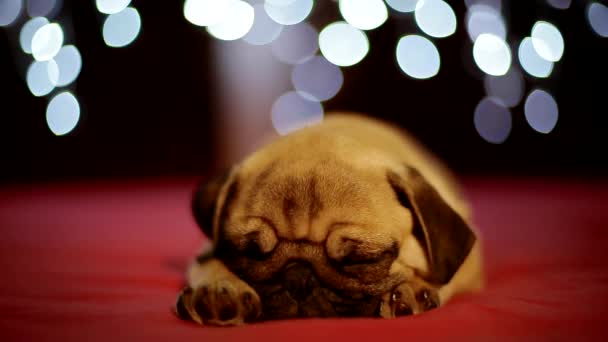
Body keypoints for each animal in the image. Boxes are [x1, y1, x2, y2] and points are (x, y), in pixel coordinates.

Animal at [173, 113, 482, 326]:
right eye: (250, 252)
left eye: (361, 259)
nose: (298, 278)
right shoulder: (206, 251)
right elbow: (210, 265)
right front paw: (220, 291)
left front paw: (414, 289)